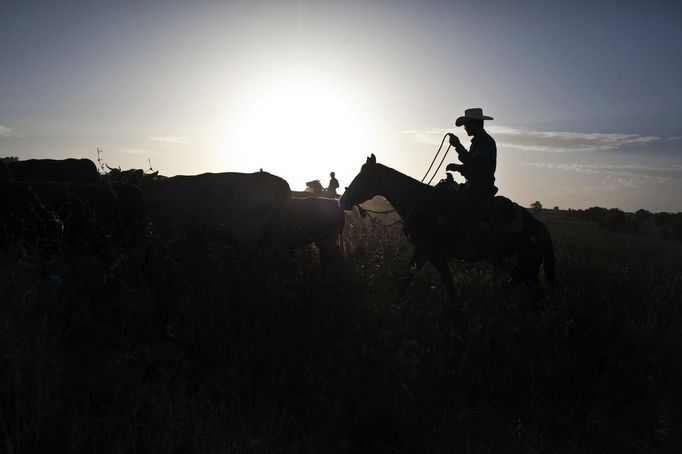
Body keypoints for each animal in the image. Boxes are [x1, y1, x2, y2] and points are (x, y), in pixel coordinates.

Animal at [338, 154, 556, 300]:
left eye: (363, 177)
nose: (343, 200)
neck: (419, 202)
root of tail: (541, 228)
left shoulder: (434, 253)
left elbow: (448, 284)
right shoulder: (421, 251)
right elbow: (407, 277)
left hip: (524, 264)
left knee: (527, 283)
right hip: (503, 260)